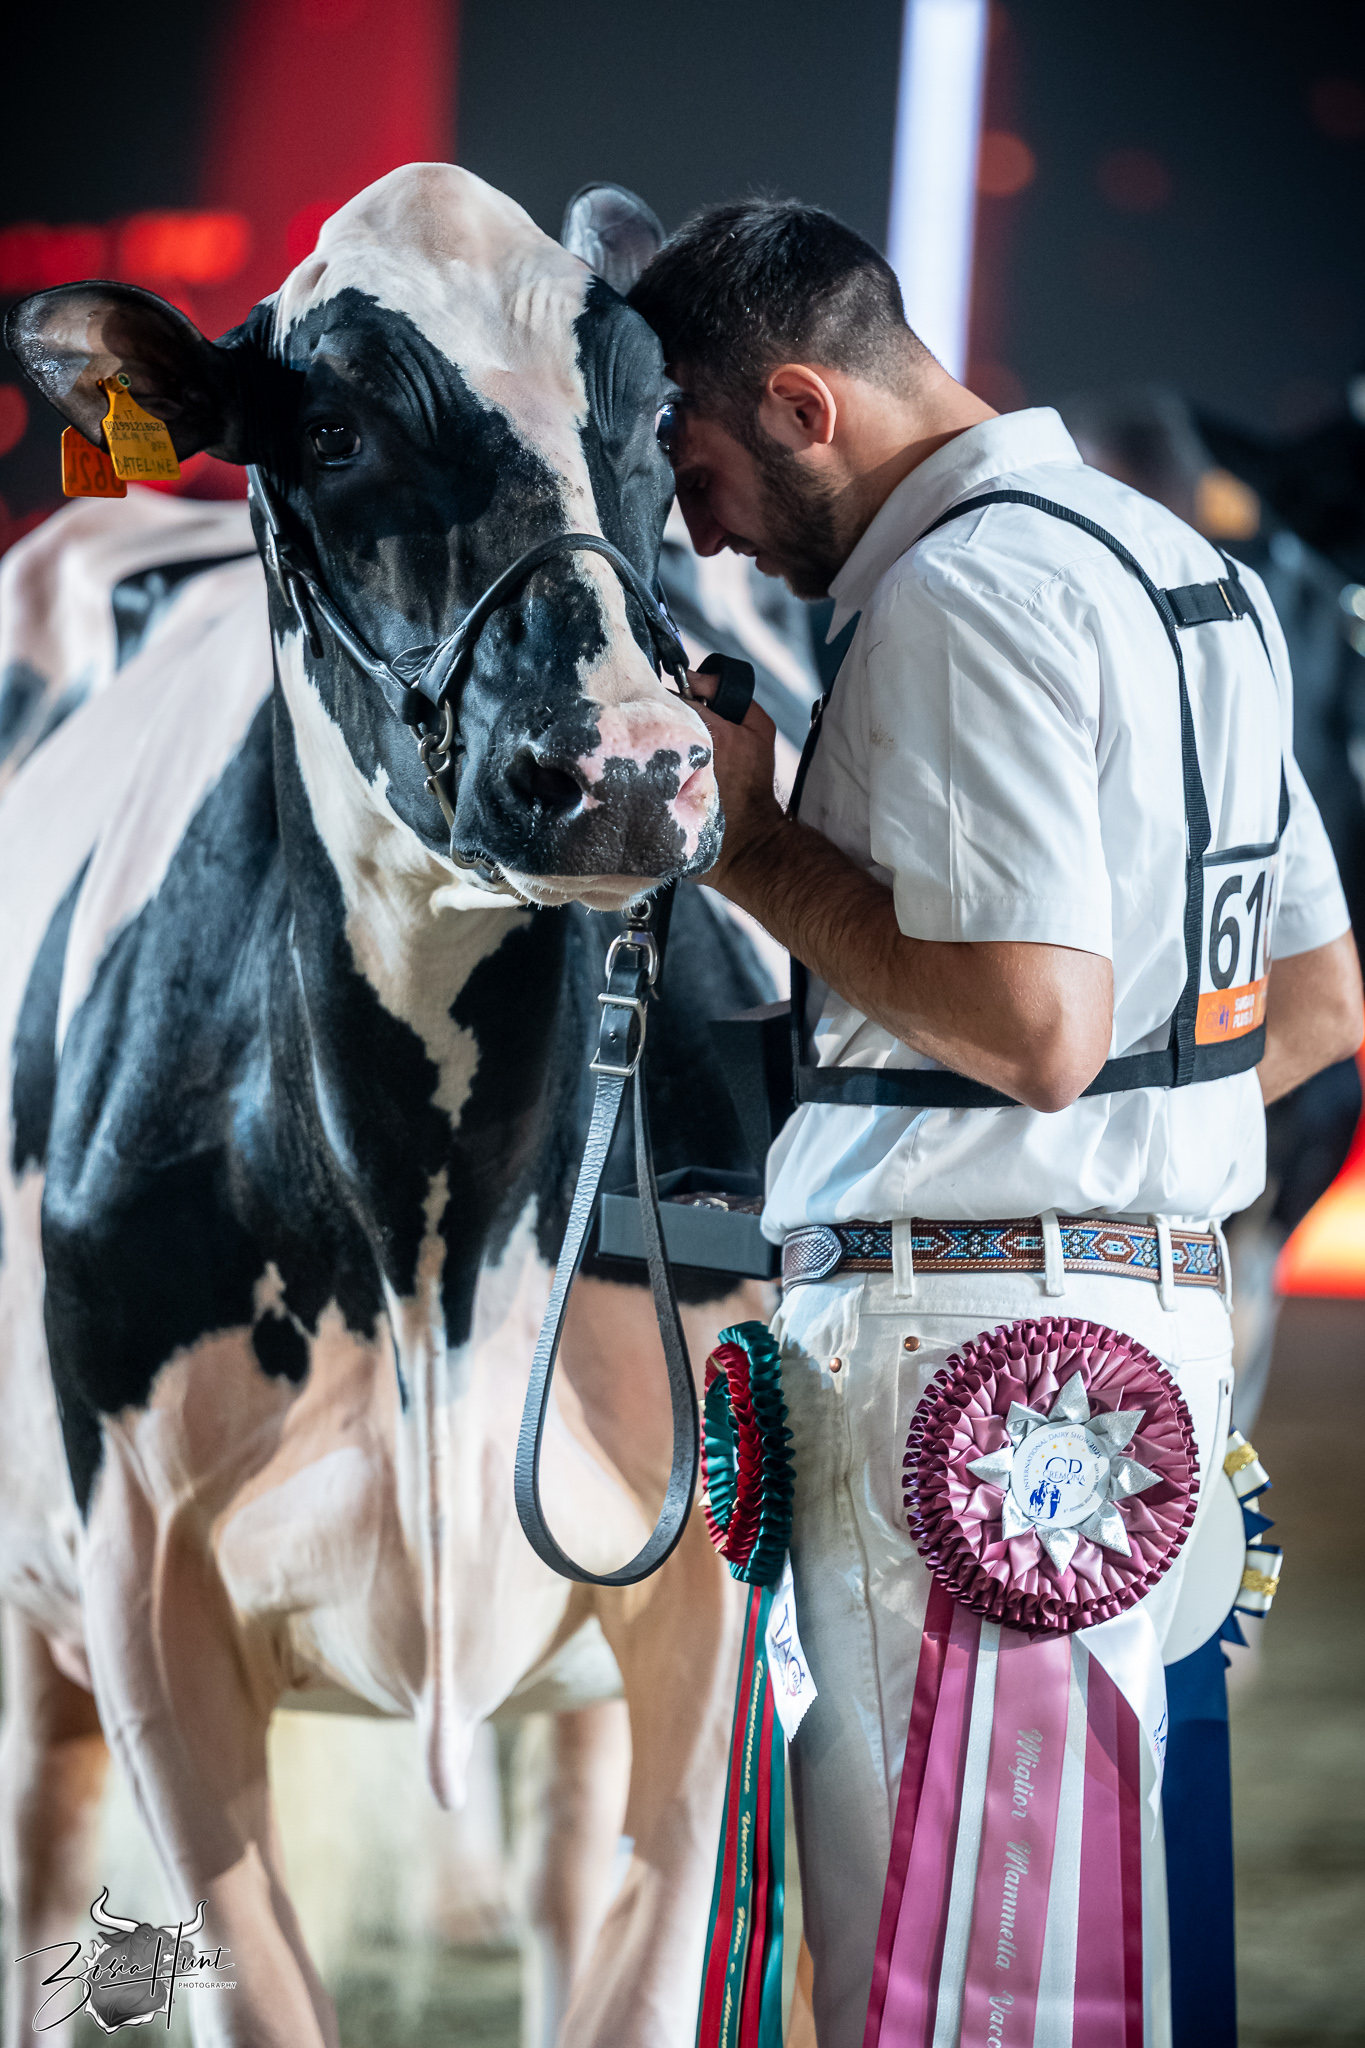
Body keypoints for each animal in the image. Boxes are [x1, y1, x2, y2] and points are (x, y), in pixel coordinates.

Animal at [0, 163, 776, 2047]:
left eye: (654, 416)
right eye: (335, 428)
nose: (626, 769)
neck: (438, 1228)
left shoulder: (708, 1585)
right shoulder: (147, 1600)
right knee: (39, 1848)